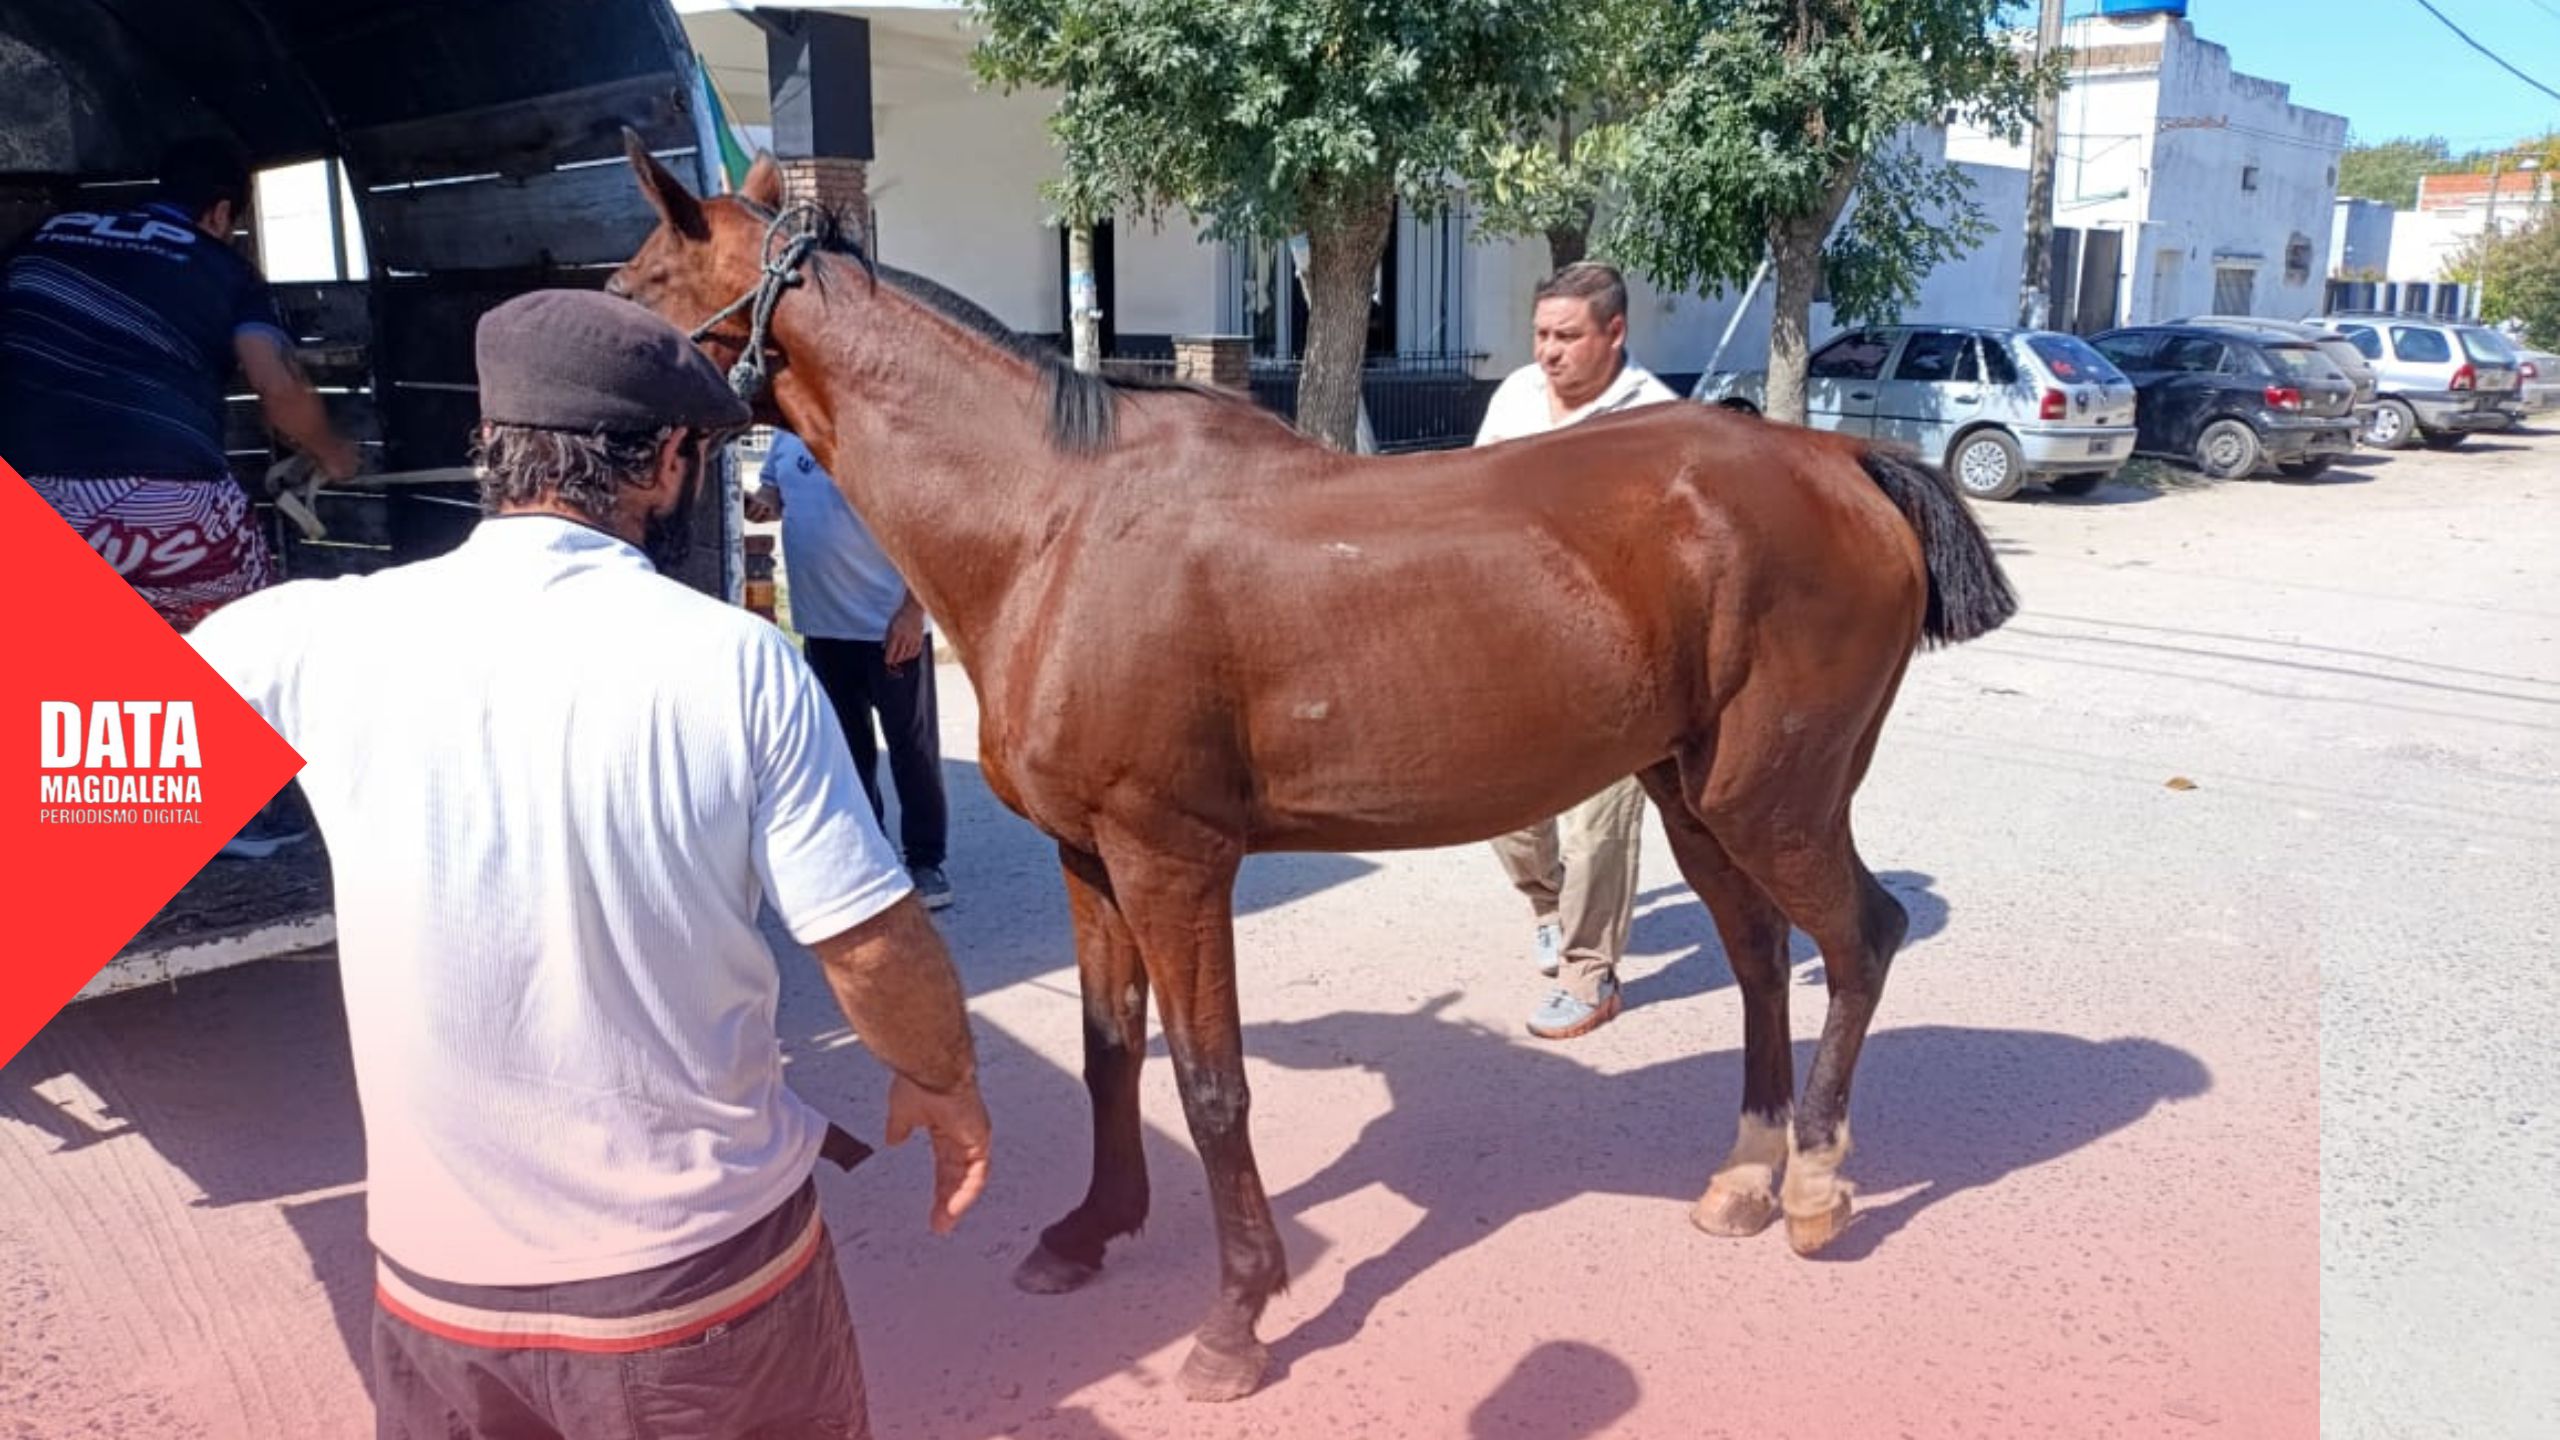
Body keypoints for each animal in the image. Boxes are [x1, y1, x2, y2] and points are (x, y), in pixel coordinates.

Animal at [609, 140, 2007, 1393]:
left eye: (633, 288)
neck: (1056, 521)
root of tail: (1837, 460)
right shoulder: (1090, 857)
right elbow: (1108, 1049)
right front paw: (1089, 1232)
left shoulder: (1173, 862)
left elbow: (1208, 1083)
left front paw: (1236, 1319)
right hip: (1692, 792)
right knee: (1762, 956)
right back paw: (1744, 1179)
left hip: (1773, 800)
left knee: (1860, 939)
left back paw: (1816, 1183)